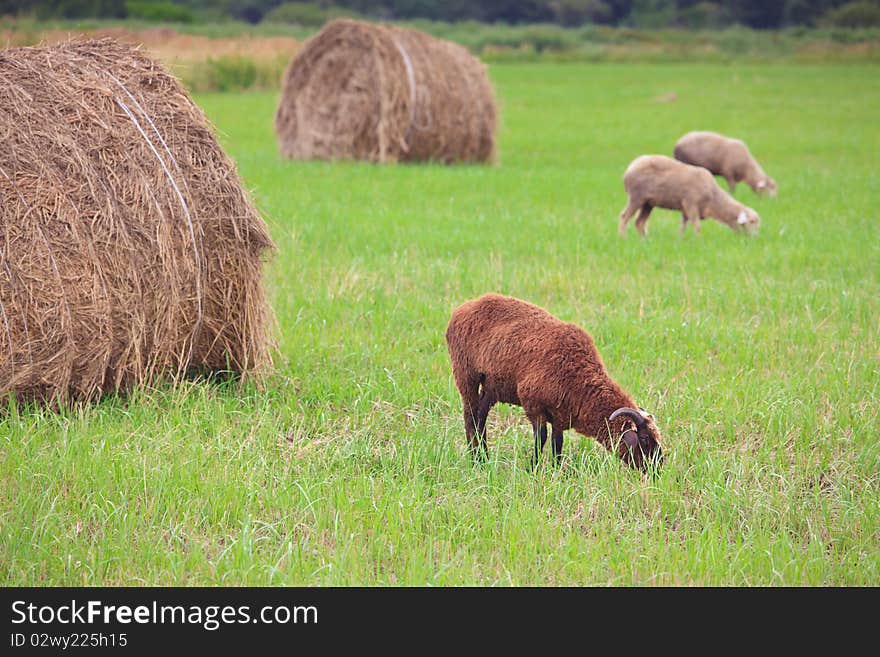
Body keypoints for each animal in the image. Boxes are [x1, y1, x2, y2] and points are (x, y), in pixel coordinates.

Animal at [444, 294, 664, 472]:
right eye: (644, 439)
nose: (657, 469)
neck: (580, 378)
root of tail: (463, 308)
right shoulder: (533, 405)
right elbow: (540, 438)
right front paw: (532, 468)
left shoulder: (560, 414)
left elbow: (557, 442)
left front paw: (556, 469)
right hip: (466, 375)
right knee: (470, 417)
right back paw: (477, 461)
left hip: (491, 386)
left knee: (480, 418)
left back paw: (484, 458)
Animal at [620, 154, 756, 236]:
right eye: (752, 222)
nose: (753, 239)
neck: (714, 199)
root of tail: (631, 166)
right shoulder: (691, 204)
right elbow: (697, 226)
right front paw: (699, 241)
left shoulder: (685, 209)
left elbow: (683, 226)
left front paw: (679, 240)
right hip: (636, 197)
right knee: (624, 217)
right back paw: (623, 238)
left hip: (648, 203)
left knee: (639, 223)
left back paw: (645, 241)